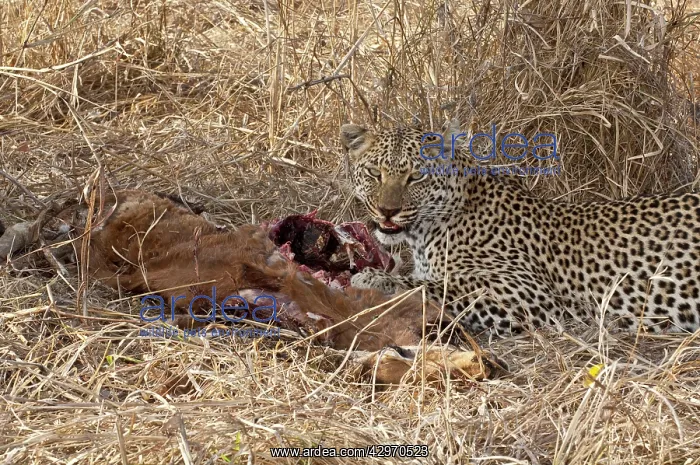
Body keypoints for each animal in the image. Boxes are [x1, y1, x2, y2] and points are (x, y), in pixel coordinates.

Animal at [340, 123, 700, 335]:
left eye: (415, 177)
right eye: (374, 173)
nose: (387, 211)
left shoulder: (528, 294)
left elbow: (437, 287)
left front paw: (374, 279)